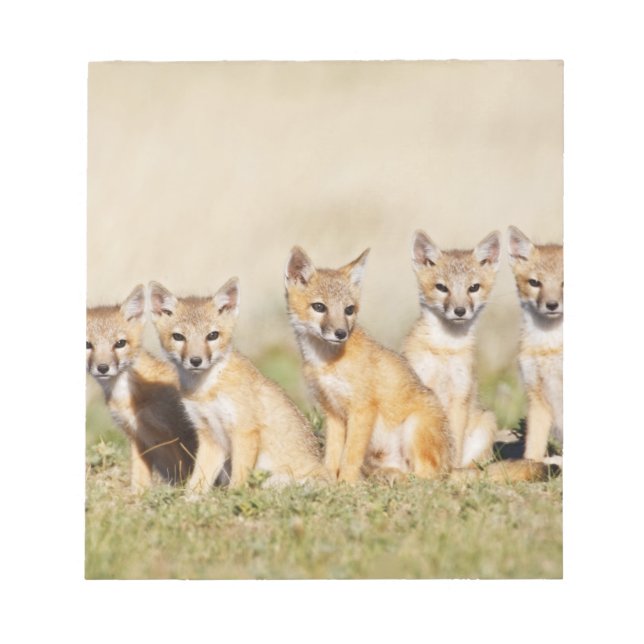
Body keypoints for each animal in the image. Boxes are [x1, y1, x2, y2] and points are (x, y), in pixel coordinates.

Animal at [86, 285, 198, 492]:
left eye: (120, 343)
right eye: (87, 345)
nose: (103, 368)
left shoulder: (176, 434)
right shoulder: (137, 438)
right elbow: (139, 480)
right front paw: (138, 495)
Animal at [148, 277, 329, 493]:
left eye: (212, 335)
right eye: (178, 337)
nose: (196, 361)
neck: (206, 391)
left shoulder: (244, 430)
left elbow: (238, 480)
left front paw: (234, 496)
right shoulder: (210, 436)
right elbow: (197, 483)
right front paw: (190, 499)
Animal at [285, 246, 453, 483]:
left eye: (349, 310)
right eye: (319, 307)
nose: (341, 333)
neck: (325, 361)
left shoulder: (362, 409)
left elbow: (350, 456)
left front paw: (346, 483)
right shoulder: (332, 412)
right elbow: (332, 457)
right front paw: (330, 482)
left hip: (415, 426)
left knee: (426, 476)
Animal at [402, 230, 501, 468]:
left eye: (473, 288)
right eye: (442, 287)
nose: (459, 310)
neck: (445, 348)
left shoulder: (460, 396)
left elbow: (454, 441)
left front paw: (450, 469)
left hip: (487, 421)